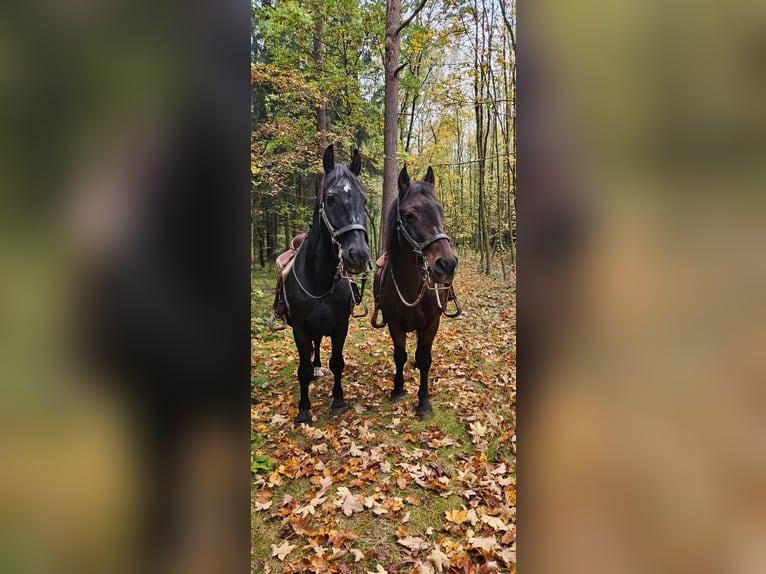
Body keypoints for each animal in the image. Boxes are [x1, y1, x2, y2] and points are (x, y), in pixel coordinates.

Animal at [282, 146, 372, 428]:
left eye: (364, 200)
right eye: (330, 198)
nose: (358, 255)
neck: (319, 278)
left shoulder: (340, 326)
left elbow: (337, 362)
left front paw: (338, 401)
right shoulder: (300, 328)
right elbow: (302, 369)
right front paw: (303, 411)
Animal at [374, 166, 462, 424]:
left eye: (440, 210)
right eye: (409, 215)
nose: (447, 264)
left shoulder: (432, 323)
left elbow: (424, 359)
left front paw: (423, 403)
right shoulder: (394, 324)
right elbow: (399, 356)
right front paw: (397, 389)